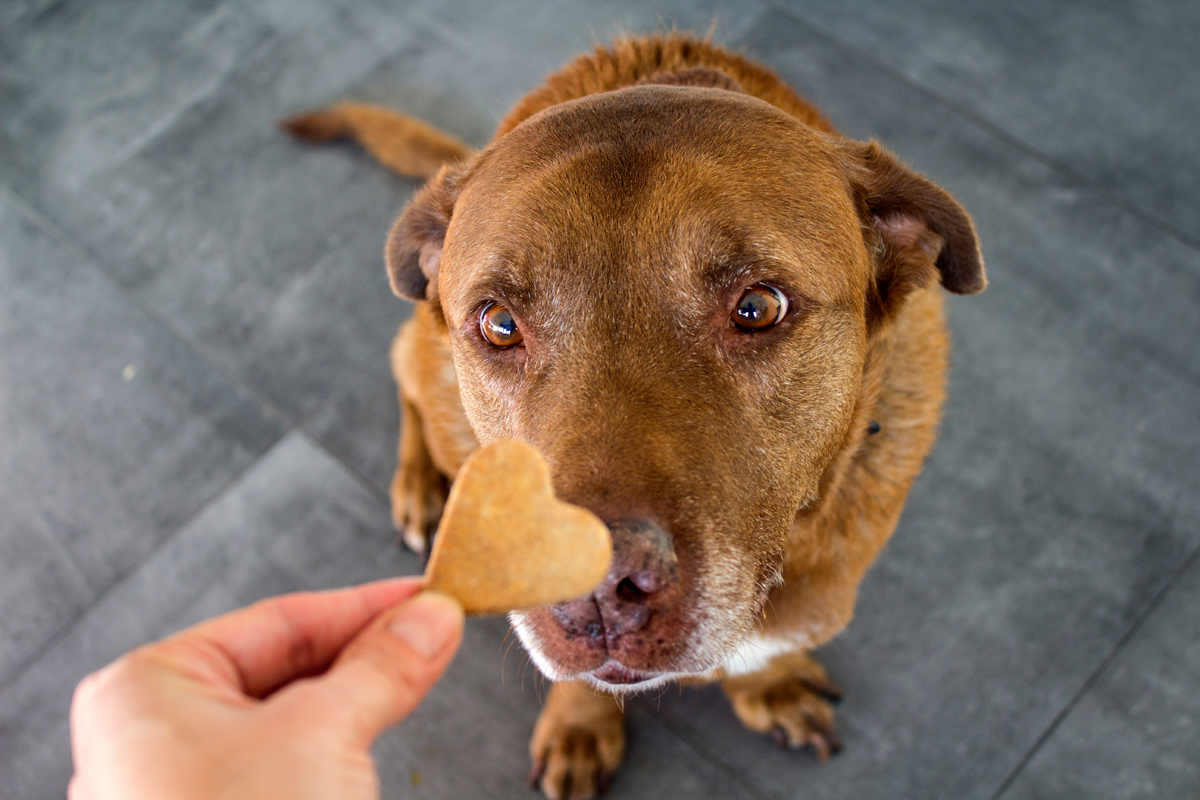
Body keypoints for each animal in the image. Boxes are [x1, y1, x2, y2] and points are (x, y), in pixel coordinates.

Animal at [280, 32, 984, 800]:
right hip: (427, 369)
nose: (593, 593)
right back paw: (421, 488)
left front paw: (767, 685)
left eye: (758, 306)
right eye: (498, 323)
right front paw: (580, 724)